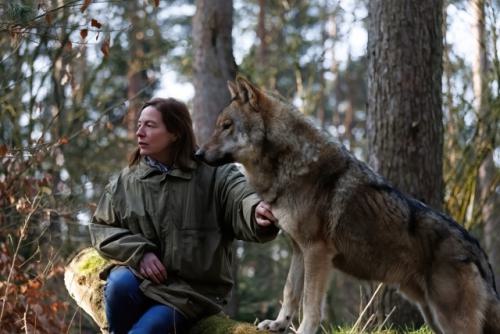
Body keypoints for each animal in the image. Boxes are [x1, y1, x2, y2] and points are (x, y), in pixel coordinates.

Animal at [194, 76, 500, 334]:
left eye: (226, 125)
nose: (197, 153)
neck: (289, 165)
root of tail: (476, 247)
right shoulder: (298, 249)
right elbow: (290, 292)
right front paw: (278, 324)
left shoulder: (317, 252)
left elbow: (310, 305)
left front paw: (303, 331)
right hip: (433, 316)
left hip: (449, 319)